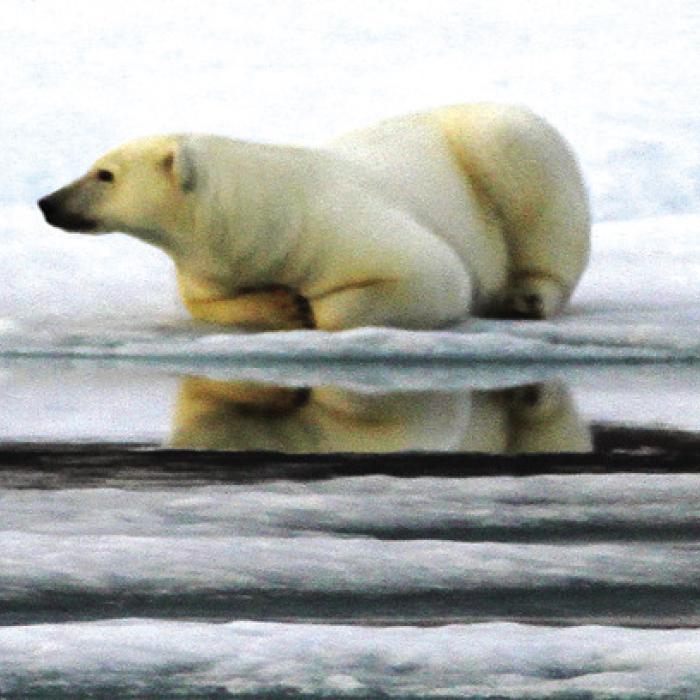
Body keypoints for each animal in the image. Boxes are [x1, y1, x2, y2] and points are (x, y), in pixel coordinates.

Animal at [37, 103, 590, 331]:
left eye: (104, 173)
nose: (48, 202)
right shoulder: (212, 263)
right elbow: (205, 301)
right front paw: (282, 304)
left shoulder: (333, 226)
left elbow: (432, 272)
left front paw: (308, 307)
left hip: (507, 145)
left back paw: (527, 297)